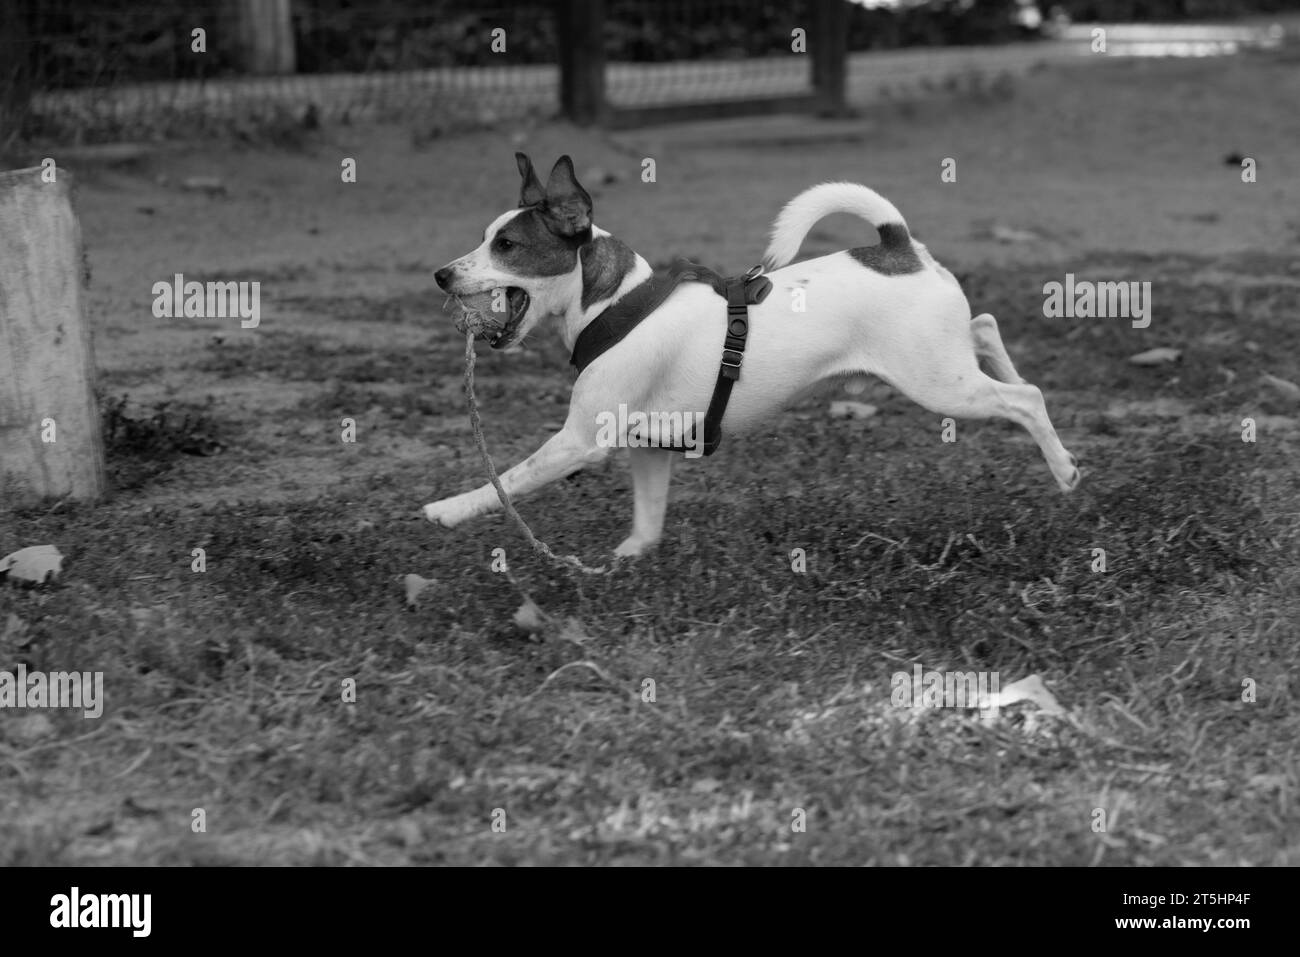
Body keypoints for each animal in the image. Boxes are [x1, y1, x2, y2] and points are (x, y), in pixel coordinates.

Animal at [423, 153, 1076, 556]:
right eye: (485, 238)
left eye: (507, 246)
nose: (440, 274)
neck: (617, 304)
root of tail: (900, 248)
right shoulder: (648, 447)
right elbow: (648, 517)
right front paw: (629, 557)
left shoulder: (578, 442)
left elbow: (508, 481)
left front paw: (450, 509)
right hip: (945, 364)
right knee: (985, 327)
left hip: (941, 385)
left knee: (1025, 397)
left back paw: (1064, 466)